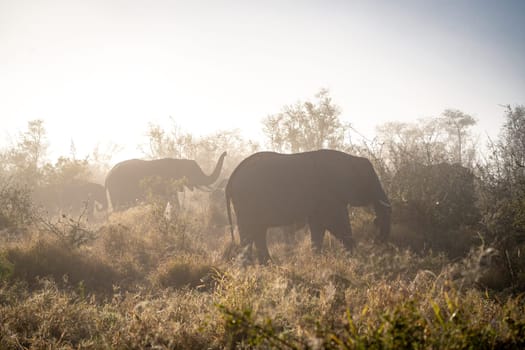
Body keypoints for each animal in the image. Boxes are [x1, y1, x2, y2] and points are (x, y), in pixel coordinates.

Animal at [223, 149, 390, 264]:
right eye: (370, 178)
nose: (377, 241)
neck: (350, 160)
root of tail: (230, 181)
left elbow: (318, 226)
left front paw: (317, 259)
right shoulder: (328, 195)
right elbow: (336, 223)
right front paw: (355, 258)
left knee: (258, 233)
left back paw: (267, 266)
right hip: (246, 203)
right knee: (249, 234)